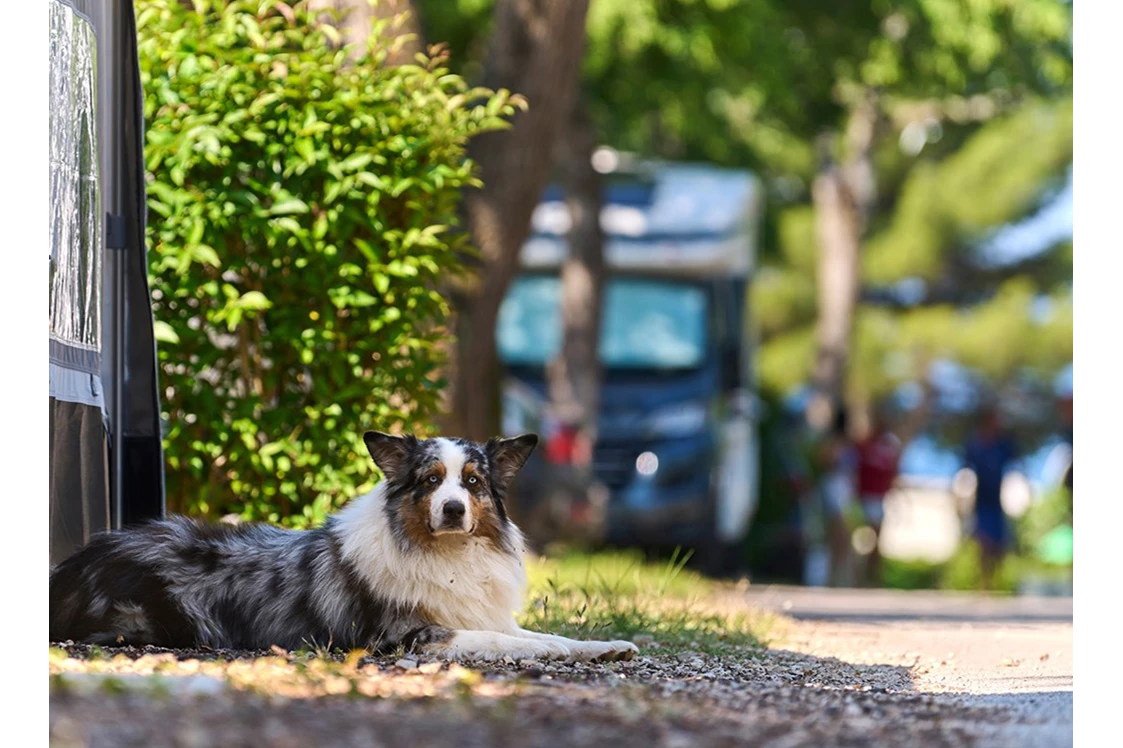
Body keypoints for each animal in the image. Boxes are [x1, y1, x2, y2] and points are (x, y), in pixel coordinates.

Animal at [48, 429, 642, 660]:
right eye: (430, 481)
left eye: (472, 482)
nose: (453, 509)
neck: (445, 555)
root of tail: (73, 565)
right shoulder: (409, 636)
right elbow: (508, 641)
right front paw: (559, 651)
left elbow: (543, 633)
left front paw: (605, 647)